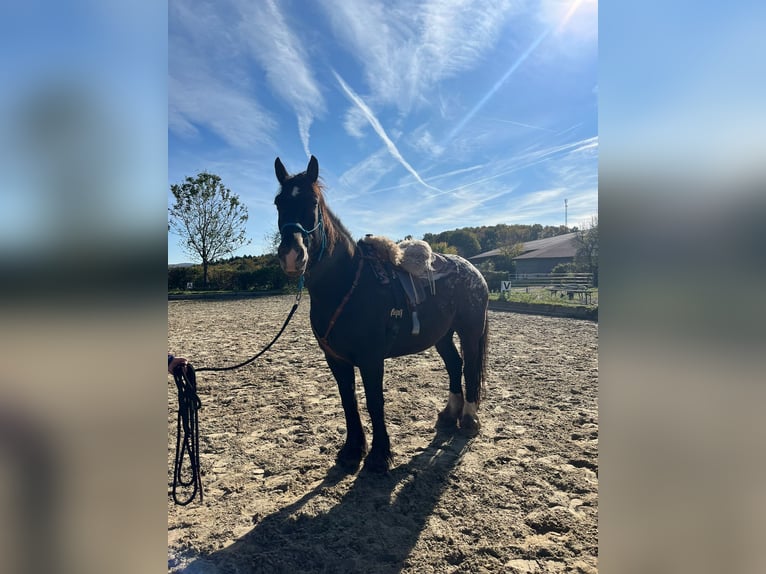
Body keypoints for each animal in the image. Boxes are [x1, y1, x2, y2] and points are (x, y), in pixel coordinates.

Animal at [273, 155, 489, 472]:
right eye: (278, 202)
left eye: (313, 202)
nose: (291, 255)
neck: (348, 285)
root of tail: (473, 269)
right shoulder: (336, 359)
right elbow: (348, 401)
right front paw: (352, 451)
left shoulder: (371, 359)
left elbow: (375, 402)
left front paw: (379, 455)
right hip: (442, 335)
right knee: (454, 364)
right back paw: (449, 414)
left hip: (470, 330)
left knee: (470, 366)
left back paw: (469, 419)